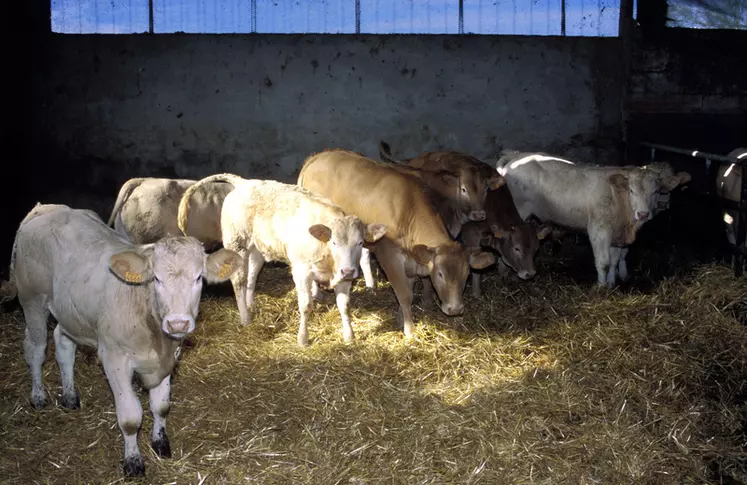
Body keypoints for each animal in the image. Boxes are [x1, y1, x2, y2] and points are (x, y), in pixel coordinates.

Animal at [0, 202, 243, 474]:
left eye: (199, 277)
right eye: (156, 278)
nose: (178, 322)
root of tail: (44, 209)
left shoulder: (169, 358)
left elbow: (161, 406)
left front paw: (161, 443)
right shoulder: (114, 360)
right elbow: (130, 417)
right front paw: (133, 461)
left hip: (70, 312)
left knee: (62, 344)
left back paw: (70, 396)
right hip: (32, 300)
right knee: (35, 347)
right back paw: (38, 396)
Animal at [175, 172, 386, 346]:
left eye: (360, 243)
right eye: (334, 242)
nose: (349, 270)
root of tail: (245, 183)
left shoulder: (342, 277)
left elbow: (344, 306)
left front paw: (349, 336)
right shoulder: (301, 271)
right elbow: (306, 305)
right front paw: (303, 339)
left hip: (256, 249)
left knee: (252, 275)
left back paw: (251, 304)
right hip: (237, 244)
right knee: (238, 280)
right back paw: (245, 317)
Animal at [298, 147, 496, 336]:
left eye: (467, 274)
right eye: (440, 274)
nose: (455, 309)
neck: (407, 212)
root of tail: (317, 157)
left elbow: (409, 288)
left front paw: (401, 317)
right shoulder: (389, 255)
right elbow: (404, 293)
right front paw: (409, 329)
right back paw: (317, 293)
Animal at [496, 151, 688, 286]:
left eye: (655, 191)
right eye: (632, 190)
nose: (643, 214)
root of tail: (515, 157)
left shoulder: (616, 233)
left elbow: (614, 260)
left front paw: (611, 283)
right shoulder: (599, 230)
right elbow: (603, 262)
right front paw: (601, 288)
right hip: (518, 210)